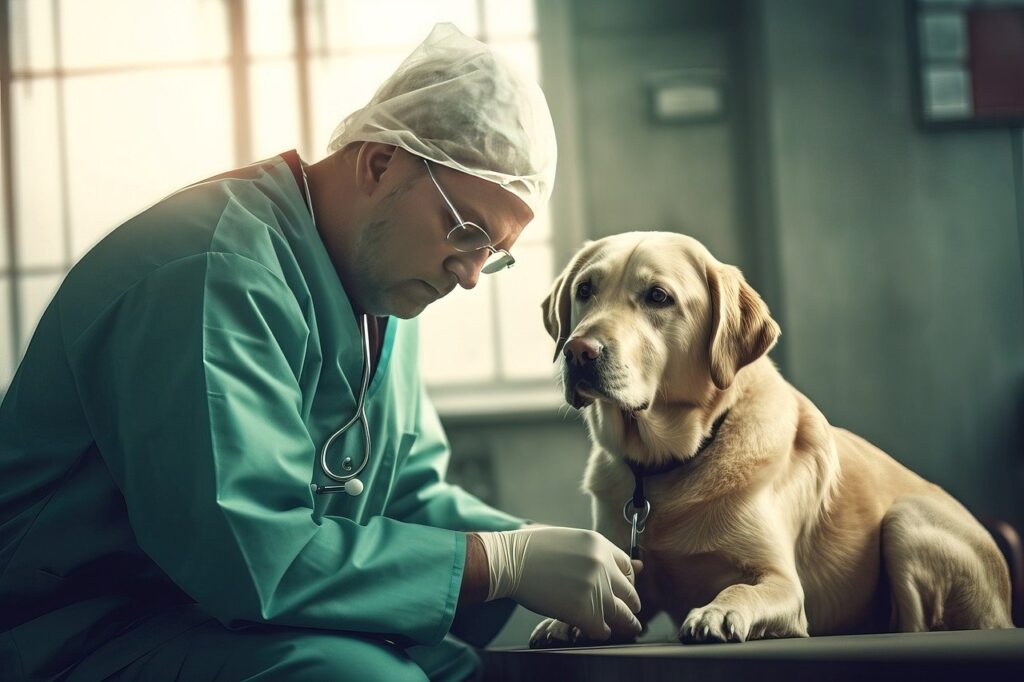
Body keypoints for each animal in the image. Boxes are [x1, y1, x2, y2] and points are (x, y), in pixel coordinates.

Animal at [532, 231, 1011, 647]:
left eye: (658, 296)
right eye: (585, 290)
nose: (578, 351)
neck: (667, 467)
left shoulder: (784, 585)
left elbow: (743, 589)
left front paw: (717, 612)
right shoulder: (629, 579)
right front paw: (567, 617)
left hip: (905, 519)